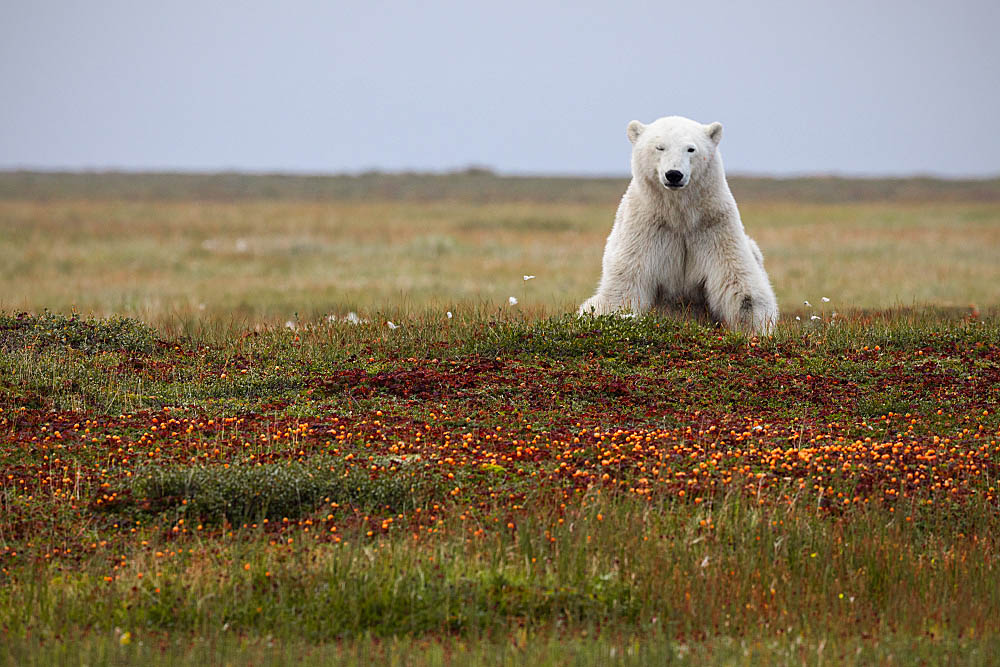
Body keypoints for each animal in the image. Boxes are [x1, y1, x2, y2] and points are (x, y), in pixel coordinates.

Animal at [580, 115, 780, 336]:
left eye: (691, 149)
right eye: (659, 147)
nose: (674, 174)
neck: (679, 216)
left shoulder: (715, 225)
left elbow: (740, 285)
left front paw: (752, 330)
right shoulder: (645, 228)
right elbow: (626, 285)